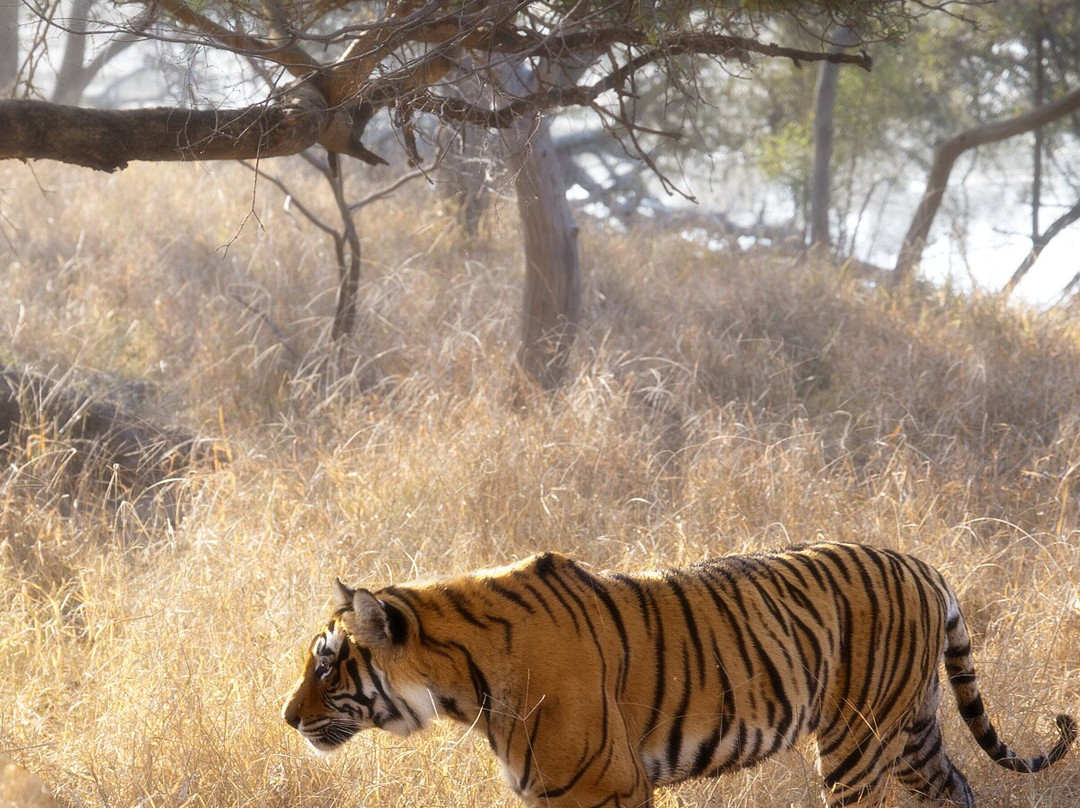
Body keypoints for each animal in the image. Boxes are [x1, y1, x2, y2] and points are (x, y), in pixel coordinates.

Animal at [282, 541, 1076, 807]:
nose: (287, 719)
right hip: (912, 733)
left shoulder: (607, 787)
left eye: (326, 663)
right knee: (959, 788)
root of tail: (921, 563)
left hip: (860, 743)